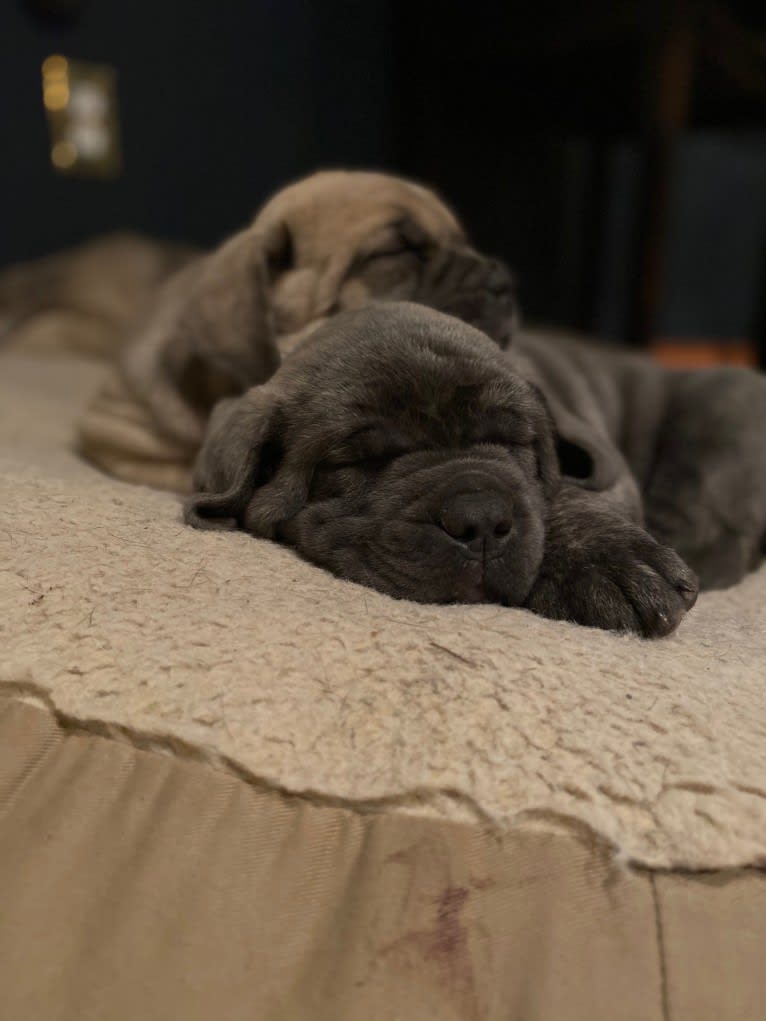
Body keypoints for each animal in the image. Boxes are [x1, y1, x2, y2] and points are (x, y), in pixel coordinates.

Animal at [185, 302, 766, 637]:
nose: (479, 519)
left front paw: (610, 560)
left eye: (513, 443)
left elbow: (562, 498)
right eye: (358, 461)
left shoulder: (612, 472)